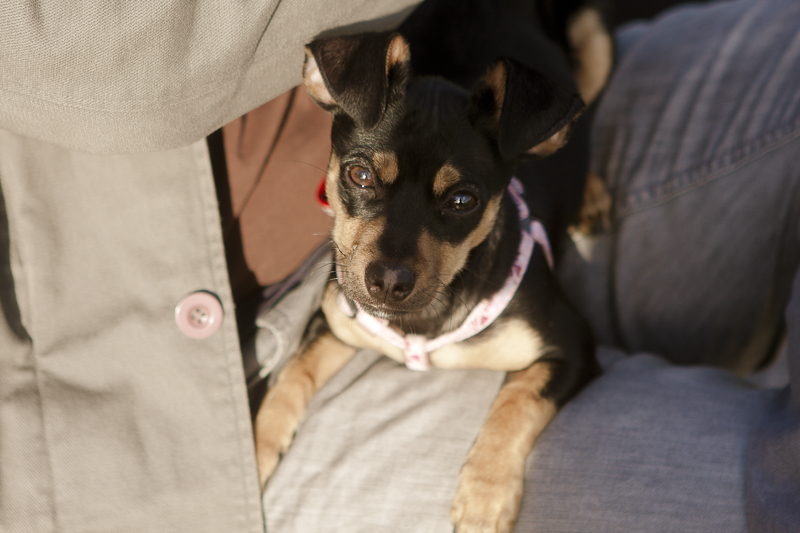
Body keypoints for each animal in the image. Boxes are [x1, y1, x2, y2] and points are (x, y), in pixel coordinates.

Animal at [254, 1, 612, 531]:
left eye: (463, 201)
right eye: (358, 175)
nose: (386, 281)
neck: (420, 322)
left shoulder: (570, 345)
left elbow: (516, 402)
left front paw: (484, 499)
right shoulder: (335, 322)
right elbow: (287, 381)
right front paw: (251, 455)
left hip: (593, 38)